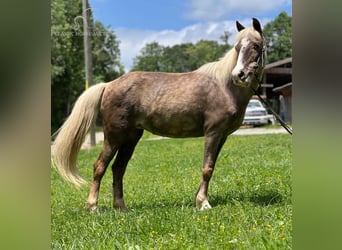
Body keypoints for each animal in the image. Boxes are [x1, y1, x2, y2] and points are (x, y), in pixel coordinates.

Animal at [52, 18, 268, 212]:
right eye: (237, 47)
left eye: (256, 46)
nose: (238, 75)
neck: (225, 87)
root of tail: (109, 85)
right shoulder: (213, 133)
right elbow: (207, 168)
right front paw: (204, 204)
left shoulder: (221, 136)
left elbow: (211, 166)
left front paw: (198, 199)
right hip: (114, 137)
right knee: (99, 166)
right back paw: (93, 207)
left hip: (131, 138)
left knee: (118, 168)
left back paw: (121, 207)